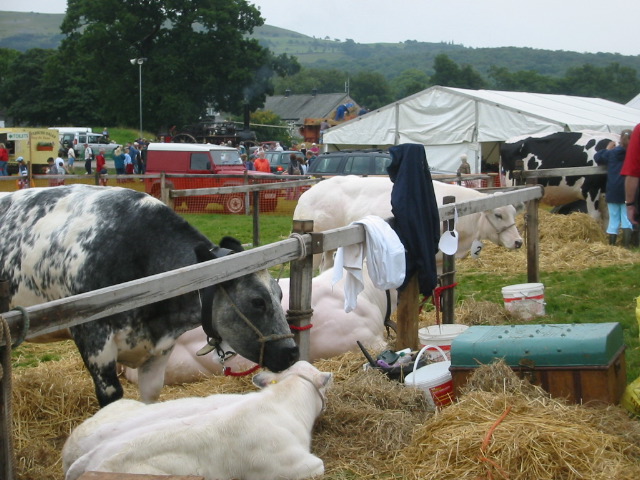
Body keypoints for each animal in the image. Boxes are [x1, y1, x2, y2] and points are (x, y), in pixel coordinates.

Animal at [292, 175, 524, 272]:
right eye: (498, 215)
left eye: (514, 212)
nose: (519, 242)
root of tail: (308, 193)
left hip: (333, 246)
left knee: (327, 266)